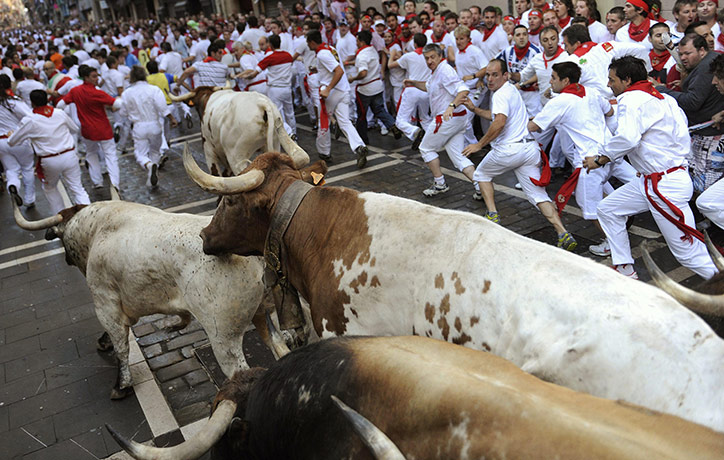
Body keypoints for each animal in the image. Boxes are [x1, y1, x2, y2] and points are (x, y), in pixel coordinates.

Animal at [11, 200, 265, 399]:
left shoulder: (104, 303)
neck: (97, 228)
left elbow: (121, 345)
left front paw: (122, 385)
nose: (65, 259)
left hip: (224, 338)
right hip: (266, 317)